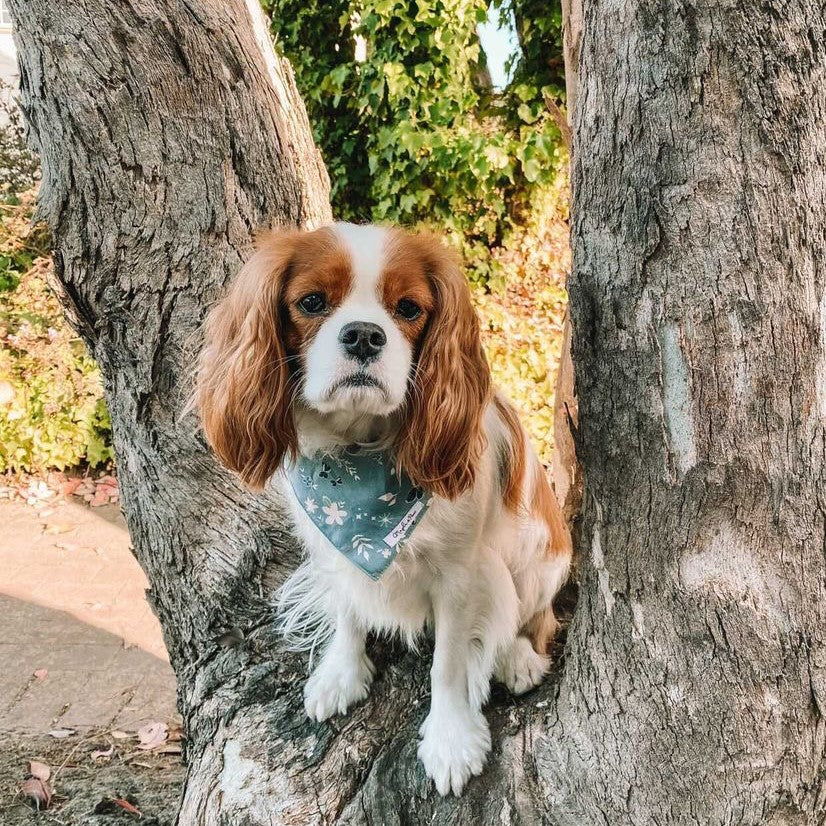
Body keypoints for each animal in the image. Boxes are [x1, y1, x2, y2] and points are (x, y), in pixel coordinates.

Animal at [196, 222, 568, 796]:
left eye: (409, 309)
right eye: (311, 302)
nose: (365, 335)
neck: (359, 457)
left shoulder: (461, 575)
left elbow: (449, 664)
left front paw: (450, 739)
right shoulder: (333, 548)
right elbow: (348, 609)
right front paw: (342, 673)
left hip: (538, 557)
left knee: (534, 614)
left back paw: (518, 656)